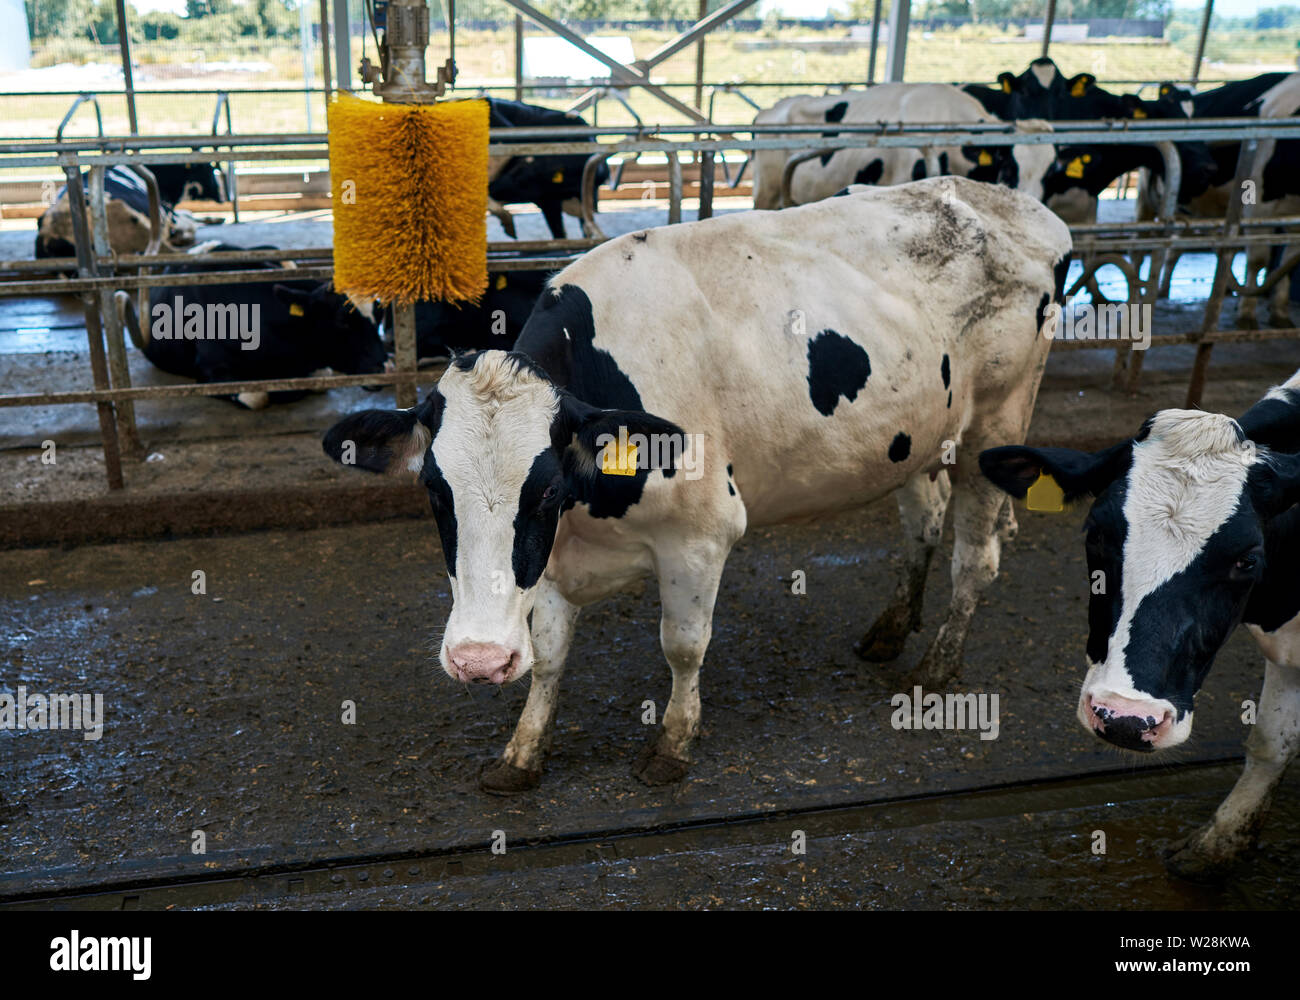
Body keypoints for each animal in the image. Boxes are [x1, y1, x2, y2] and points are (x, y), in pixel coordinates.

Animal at [322, 175, 1066, 790]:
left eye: (545, 491)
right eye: (434, 491)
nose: (479, 660)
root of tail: (1010, 203)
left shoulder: (701, 535)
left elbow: (682, 646)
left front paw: (672, 746)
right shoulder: (556, 558)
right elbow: (552, 656)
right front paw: (523, 751)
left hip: (995, 423)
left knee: (977, 557)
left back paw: (936, 665)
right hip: (914, 434)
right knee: (925, 518)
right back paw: (890, 627)